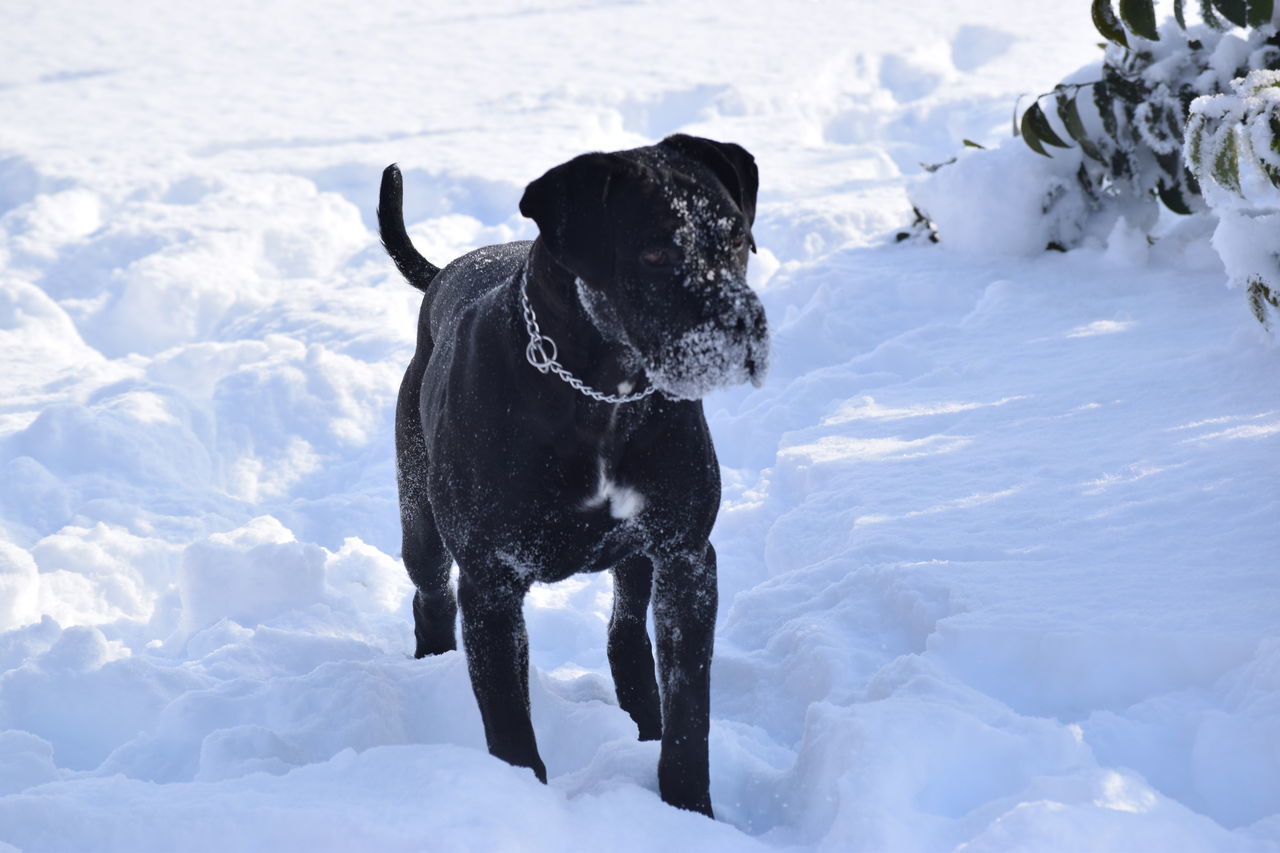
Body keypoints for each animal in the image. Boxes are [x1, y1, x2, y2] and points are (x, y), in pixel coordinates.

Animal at [373, 136, 762, 814]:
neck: (603, 396)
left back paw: (642, 720)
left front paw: (689, 809)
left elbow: (690, 709)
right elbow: (509, 724)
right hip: (419, 517)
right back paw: (431, 669)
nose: (744, 328)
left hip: (636, 560)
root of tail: (444, 272)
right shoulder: (493, 582)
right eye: (654, 251)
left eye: (735, 235)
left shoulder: (686, 557)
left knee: (626, 636)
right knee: (429, 594)